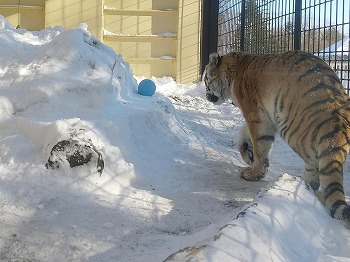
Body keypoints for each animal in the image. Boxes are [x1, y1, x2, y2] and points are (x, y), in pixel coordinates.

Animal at [202, 50, 350, 227]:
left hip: (292, 128)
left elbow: (260, 145)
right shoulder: (264, 117)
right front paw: (248, 155)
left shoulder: (256, 116)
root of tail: (338, 122)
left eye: (205, 80)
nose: (206, 96)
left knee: (314, 168)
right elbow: (244, 136)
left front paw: (254, 172)